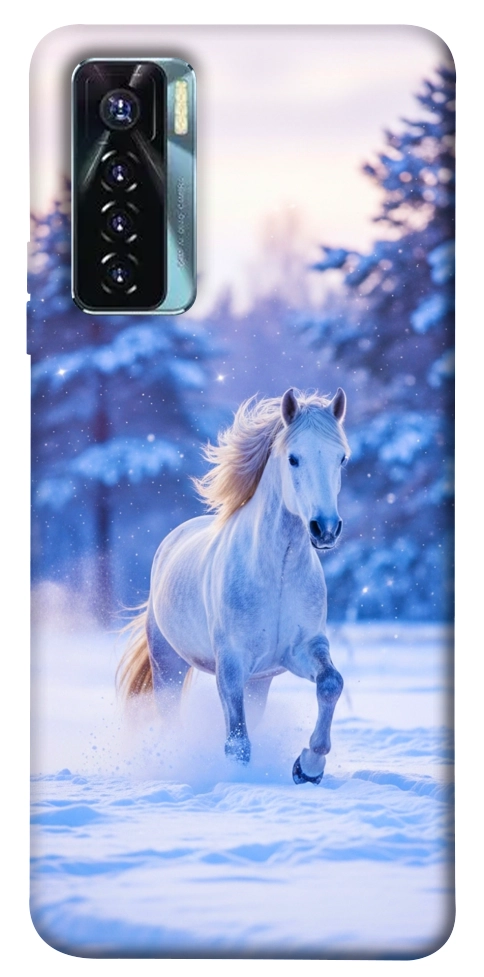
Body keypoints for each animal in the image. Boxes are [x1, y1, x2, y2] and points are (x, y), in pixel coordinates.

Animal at [118, 387, 350, 784]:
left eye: (341, 459)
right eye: (294, 458)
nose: (325, 529)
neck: (277, 573)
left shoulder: (302, 649)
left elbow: (331, 683)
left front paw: (308, 767)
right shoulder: (231, 664)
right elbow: (237, 742)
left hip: (259, 682)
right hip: (168, 665)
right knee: (171, 717)